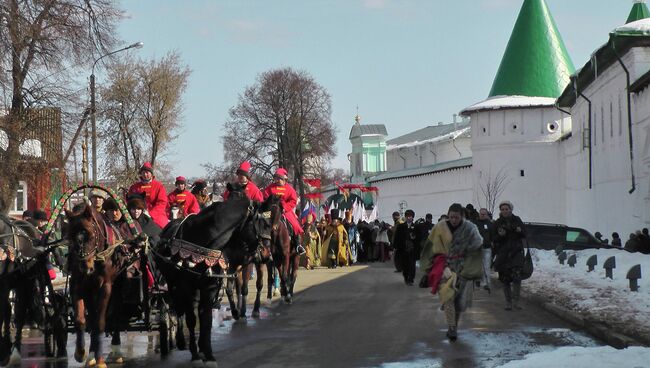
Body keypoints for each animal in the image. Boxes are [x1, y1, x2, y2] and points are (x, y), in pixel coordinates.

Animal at [65, 204, 143, 368]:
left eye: (90, 234)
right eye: (71, 235)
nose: (85, 267)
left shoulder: (105, 287)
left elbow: (100, 322)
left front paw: (100, 360)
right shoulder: (78, 286)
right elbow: (81, 320)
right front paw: (81, 353)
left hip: (118, 288)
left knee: (115, 315)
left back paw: (116, 349)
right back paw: (91, 355)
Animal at [153, 183, 274, 366]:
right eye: (263, 224)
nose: (267, 255)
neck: (204, 239)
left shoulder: (210, 287)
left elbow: (207, 320)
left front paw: (208, 353)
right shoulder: (186, 286)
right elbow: (191, 319)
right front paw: (195, 354)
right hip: (173, 283)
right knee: (177, 309)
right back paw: (180, 341)